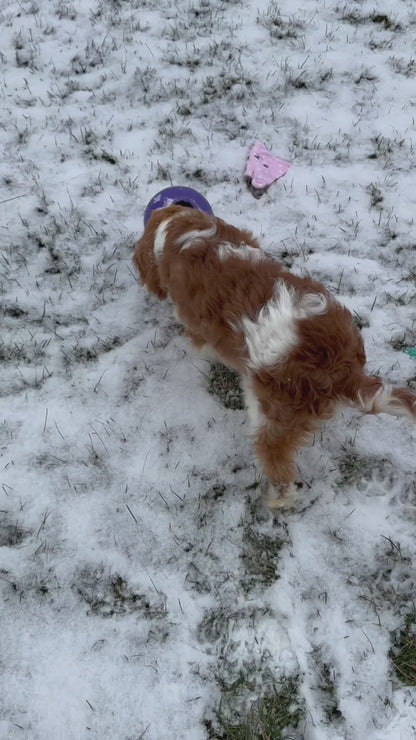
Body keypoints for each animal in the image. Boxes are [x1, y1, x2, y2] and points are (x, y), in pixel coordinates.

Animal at [133, 207, 416, 508]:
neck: (180, 228)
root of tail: (340, 368)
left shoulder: (196, 324)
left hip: (271, 413)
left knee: (276, 464)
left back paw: (275, 500)